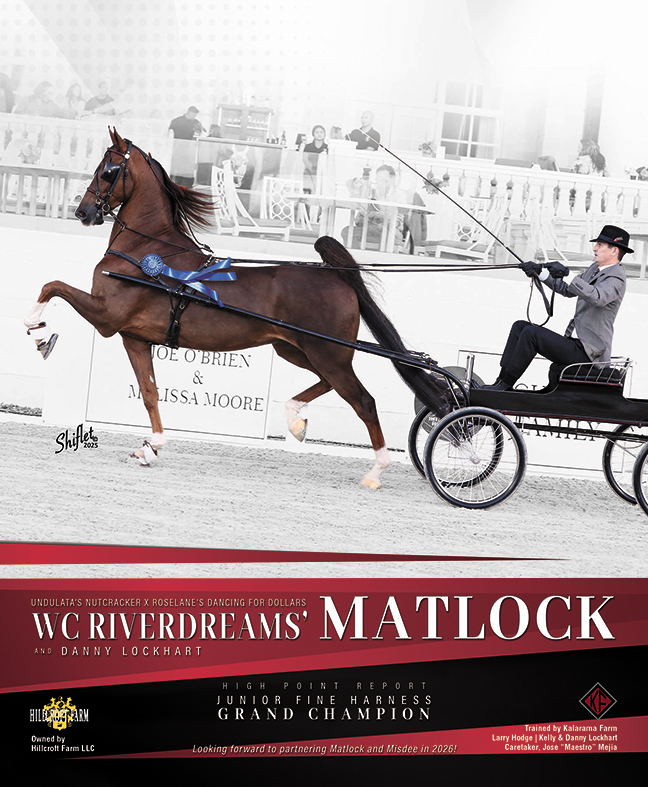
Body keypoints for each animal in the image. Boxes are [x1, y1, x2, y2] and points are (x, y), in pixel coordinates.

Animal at [25, 128, 450, 488]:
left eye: (109, 169)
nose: (83, 213)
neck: (146, 253)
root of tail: (337, 278)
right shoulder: (134, 338)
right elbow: (149, 393)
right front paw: (151, 448)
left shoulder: (106, 316)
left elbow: (52, 286)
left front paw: (38, 331)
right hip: (297, 349)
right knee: (330, 385)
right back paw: (295, 420)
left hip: (327, 352)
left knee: (363, 401)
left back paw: (375, 471)